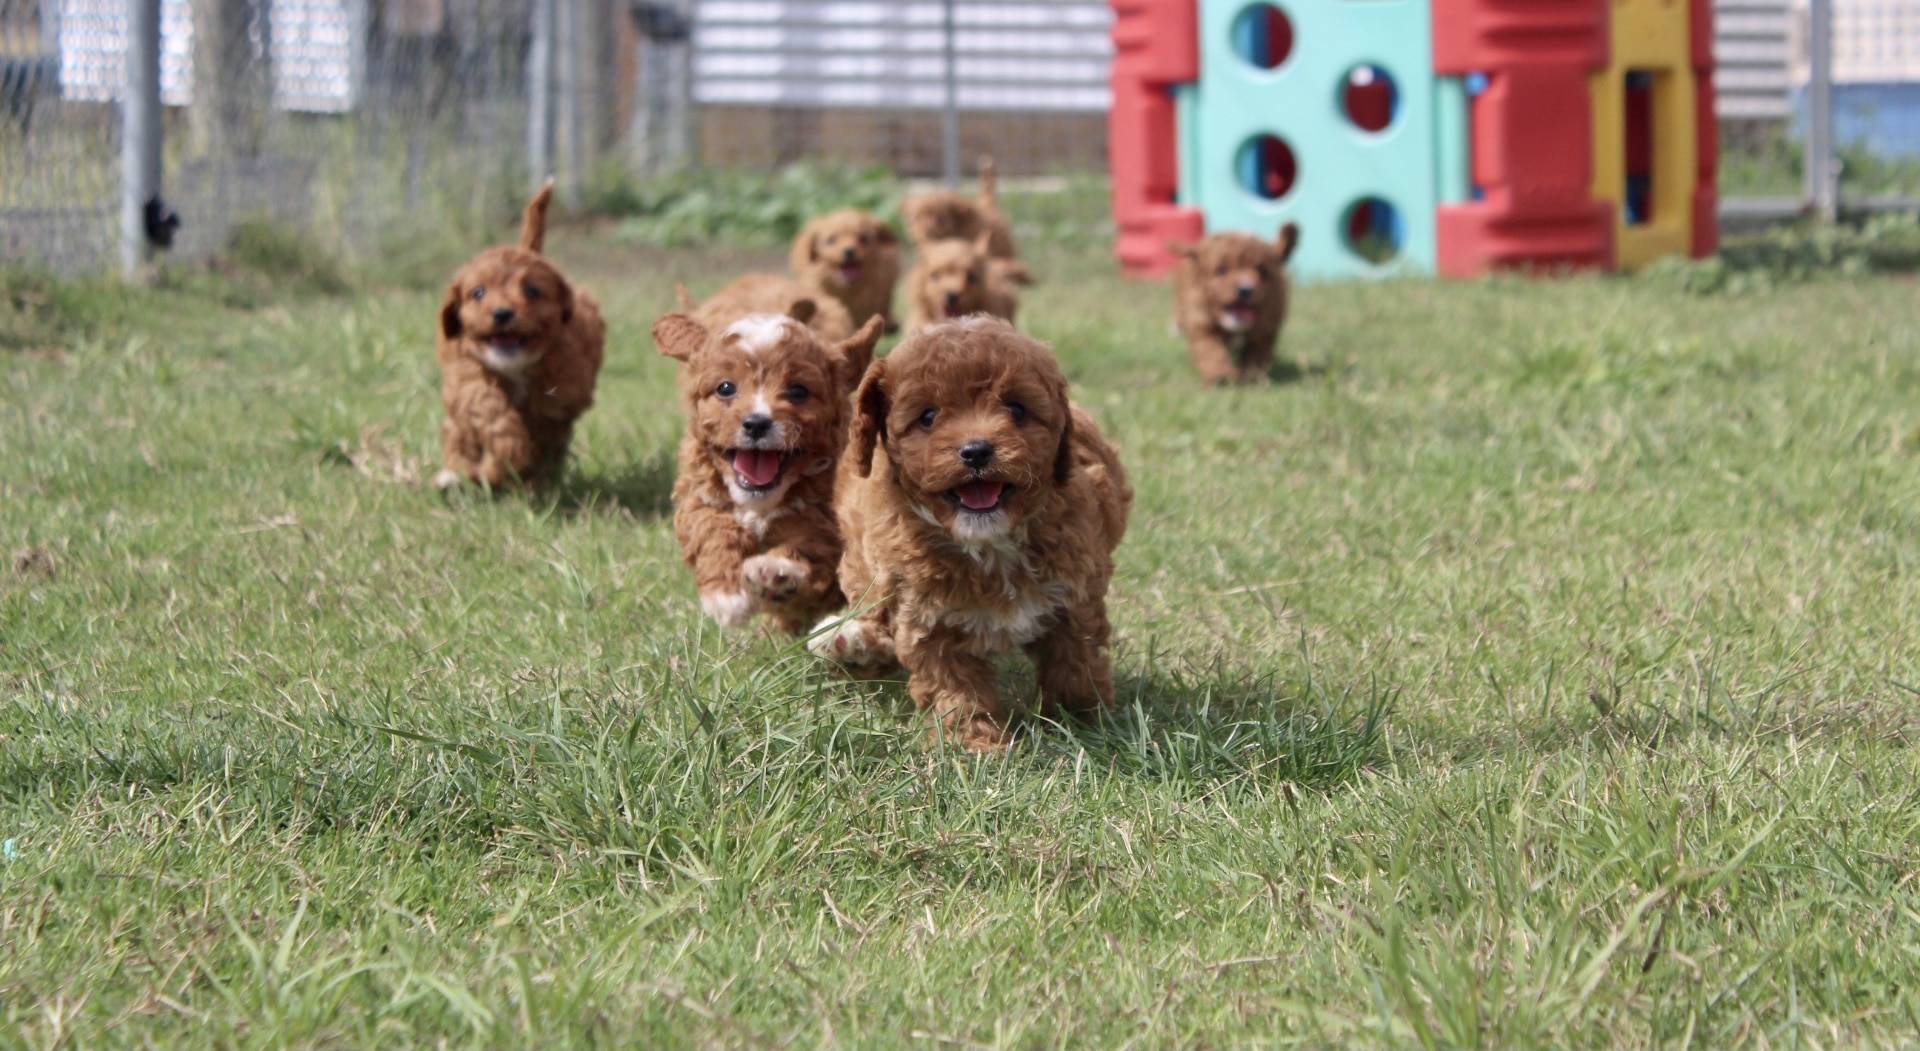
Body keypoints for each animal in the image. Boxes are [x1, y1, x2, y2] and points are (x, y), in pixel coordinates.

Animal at [648, 303, 879, 634]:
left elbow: (811, 545)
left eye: (798, 391)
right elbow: (712, 530)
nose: (756, 423)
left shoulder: (823, 516)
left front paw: (776, 573)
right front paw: (727, 596)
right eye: (726, 388)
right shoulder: (702, 497)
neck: (760, 502)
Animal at [806, 317, 1128, 753]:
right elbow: (956, 687)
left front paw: (1083, 722)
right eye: (928, 416)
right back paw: (850, 643)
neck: (990, 545)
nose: (976, 451)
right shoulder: (929, 620)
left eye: (1016, 409)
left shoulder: (1075, 597)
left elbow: (1075, 661)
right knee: (869, 606)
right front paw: (974, 744)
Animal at [1167, 222, 1305, 386]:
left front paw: (1250, 377)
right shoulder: (1202, 321)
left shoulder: (1264, 330)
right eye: (1222, 270)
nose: (1245, 290)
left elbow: (1255, 357)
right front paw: (1220, 376)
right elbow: (1211, 351)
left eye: (1262, 271)